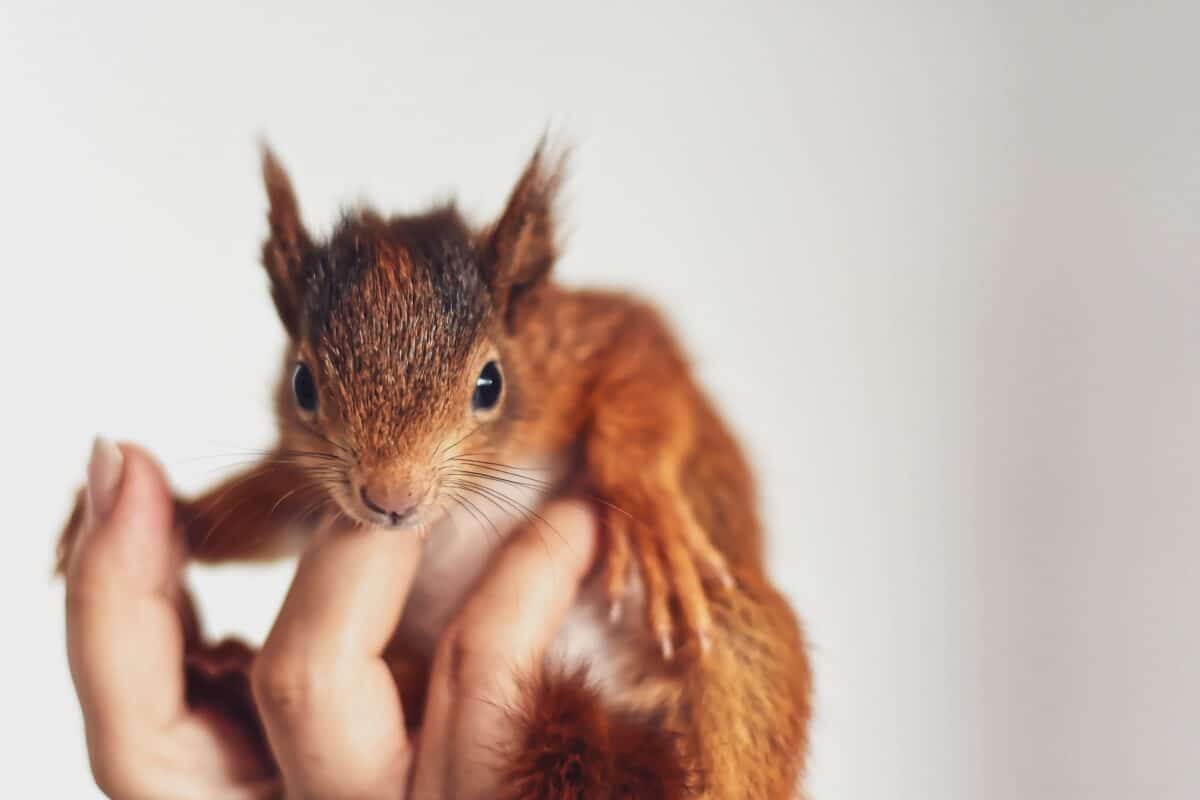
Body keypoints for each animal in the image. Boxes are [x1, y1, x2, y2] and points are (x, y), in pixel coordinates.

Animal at [56, 140, 811, 796]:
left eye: (491, 384)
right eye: (302, 384)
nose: (392, 497)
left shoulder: (581, 341)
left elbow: (642, 371)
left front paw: (646, 507)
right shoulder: (309, 481)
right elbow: (262, 506)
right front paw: (181, 516)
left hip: (743, 655)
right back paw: (230, 668)